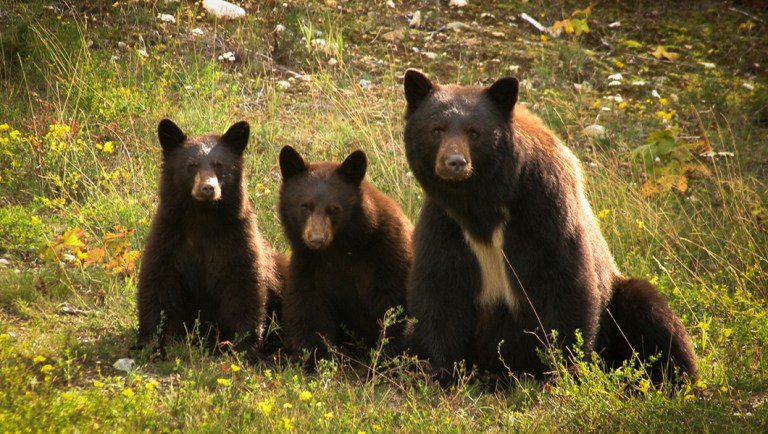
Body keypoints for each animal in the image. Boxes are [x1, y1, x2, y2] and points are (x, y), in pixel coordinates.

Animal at [134, 119, 285, 362]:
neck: (202, 219)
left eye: (219, 165)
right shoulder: (168, 237)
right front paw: (149, 343)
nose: (208, 188)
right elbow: (158, 283)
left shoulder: (238, 240)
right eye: (192, 165)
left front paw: (245, 348)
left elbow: (244, 288)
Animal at [277, 145, 413, 367]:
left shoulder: (389, 254)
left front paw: (386, 358)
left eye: (334, 209)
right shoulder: (308, 264)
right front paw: (306, 357)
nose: (316, 239)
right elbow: (307, 307)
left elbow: (391, 305)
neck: (341, 248)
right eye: (305, 206)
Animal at [401, 69, 698, 384]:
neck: (482, 205)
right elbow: (440, 289)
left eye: (474, 132)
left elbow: (565, 284)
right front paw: (441, 371)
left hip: (620, 300)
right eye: (436, 130)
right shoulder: (445, 223)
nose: (454, 162)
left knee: (654, 316)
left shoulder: (546, 210)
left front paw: (563, 373)